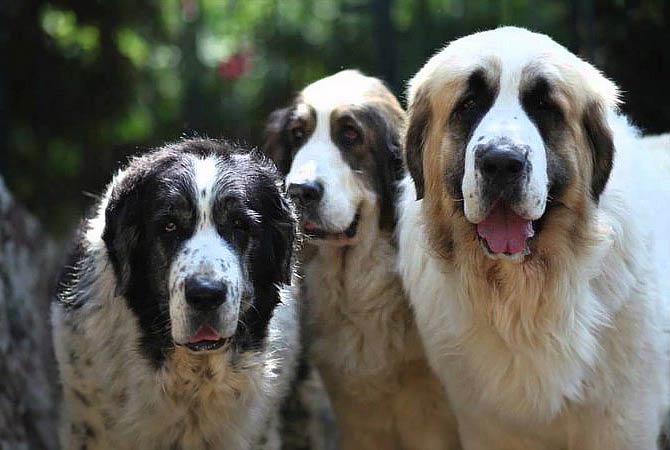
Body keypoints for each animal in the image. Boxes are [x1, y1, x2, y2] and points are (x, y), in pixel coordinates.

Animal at [400, 29, 670, 450]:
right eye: (469, 103)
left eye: (544, 106)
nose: (501, 161)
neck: (523, 297)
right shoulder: (488, 427)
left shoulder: (622, 423)